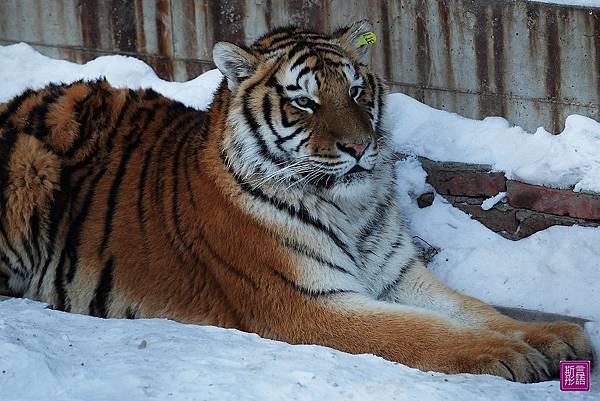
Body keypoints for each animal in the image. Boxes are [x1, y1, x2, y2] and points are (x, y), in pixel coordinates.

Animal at [0, 21, 592, 382]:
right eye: (304, 102)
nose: (361, 147)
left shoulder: (399, 276)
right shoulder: (308, 301)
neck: (351, 209)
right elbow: (422, 332)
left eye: (355, 91)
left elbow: (475, 310)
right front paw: (509, 355)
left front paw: (556, 337)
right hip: (29, 163)